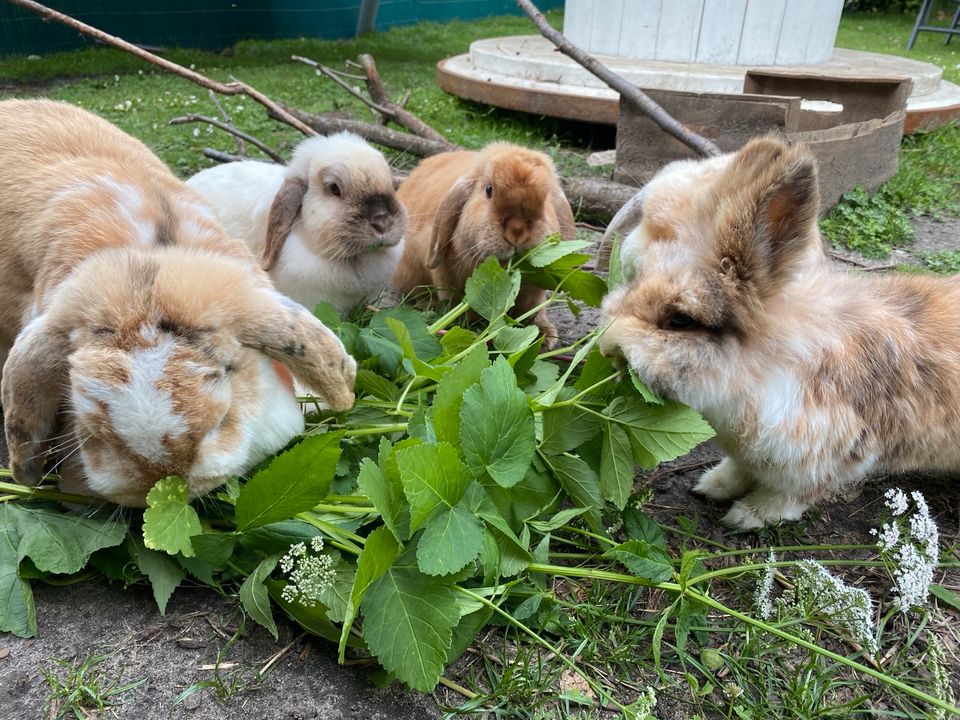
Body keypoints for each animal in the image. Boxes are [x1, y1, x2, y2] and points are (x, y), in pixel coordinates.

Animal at [392, 141, 572, 346]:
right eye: (489, 190)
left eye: (546, 197)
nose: (517, 231)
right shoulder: (443, 274)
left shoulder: (535, 295)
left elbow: (534, 311)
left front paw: (546, 336)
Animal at [600, 136, 960, 528]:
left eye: (681, 320)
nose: (606, 347)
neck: (764, 368)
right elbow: (740, 469)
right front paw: (714, 485)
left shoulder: (828, 461)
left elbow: (790, 497)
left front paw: (745, 516)